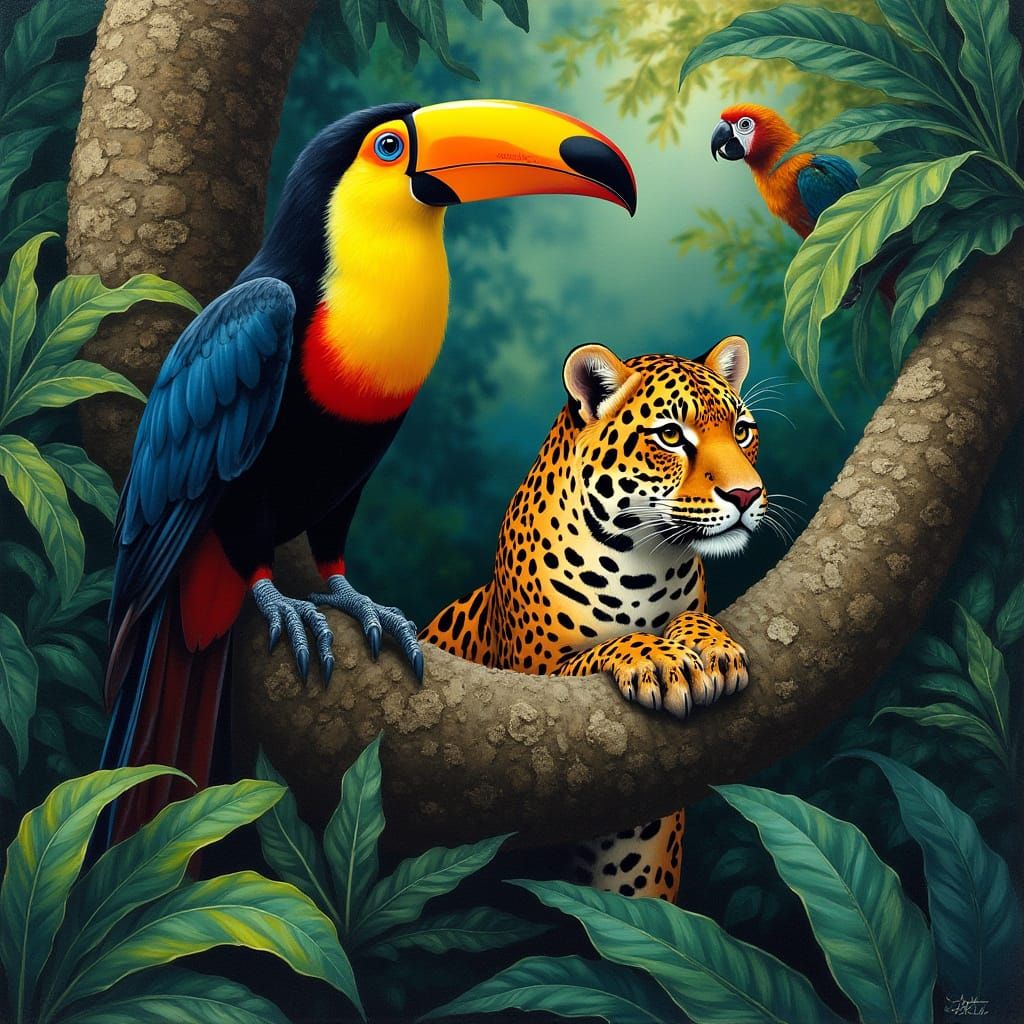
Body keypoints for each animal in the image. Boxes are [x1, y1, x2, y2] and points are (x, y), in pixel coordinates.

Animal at [420, 335, 766, 901]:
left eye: (741, 431)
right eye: (670, 435)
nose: (747, 495)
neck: (646, 563)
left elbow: (696, 622)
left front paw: (713, 647)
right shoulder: (529, 676)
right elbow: (603, 648)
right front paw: (661, 661)